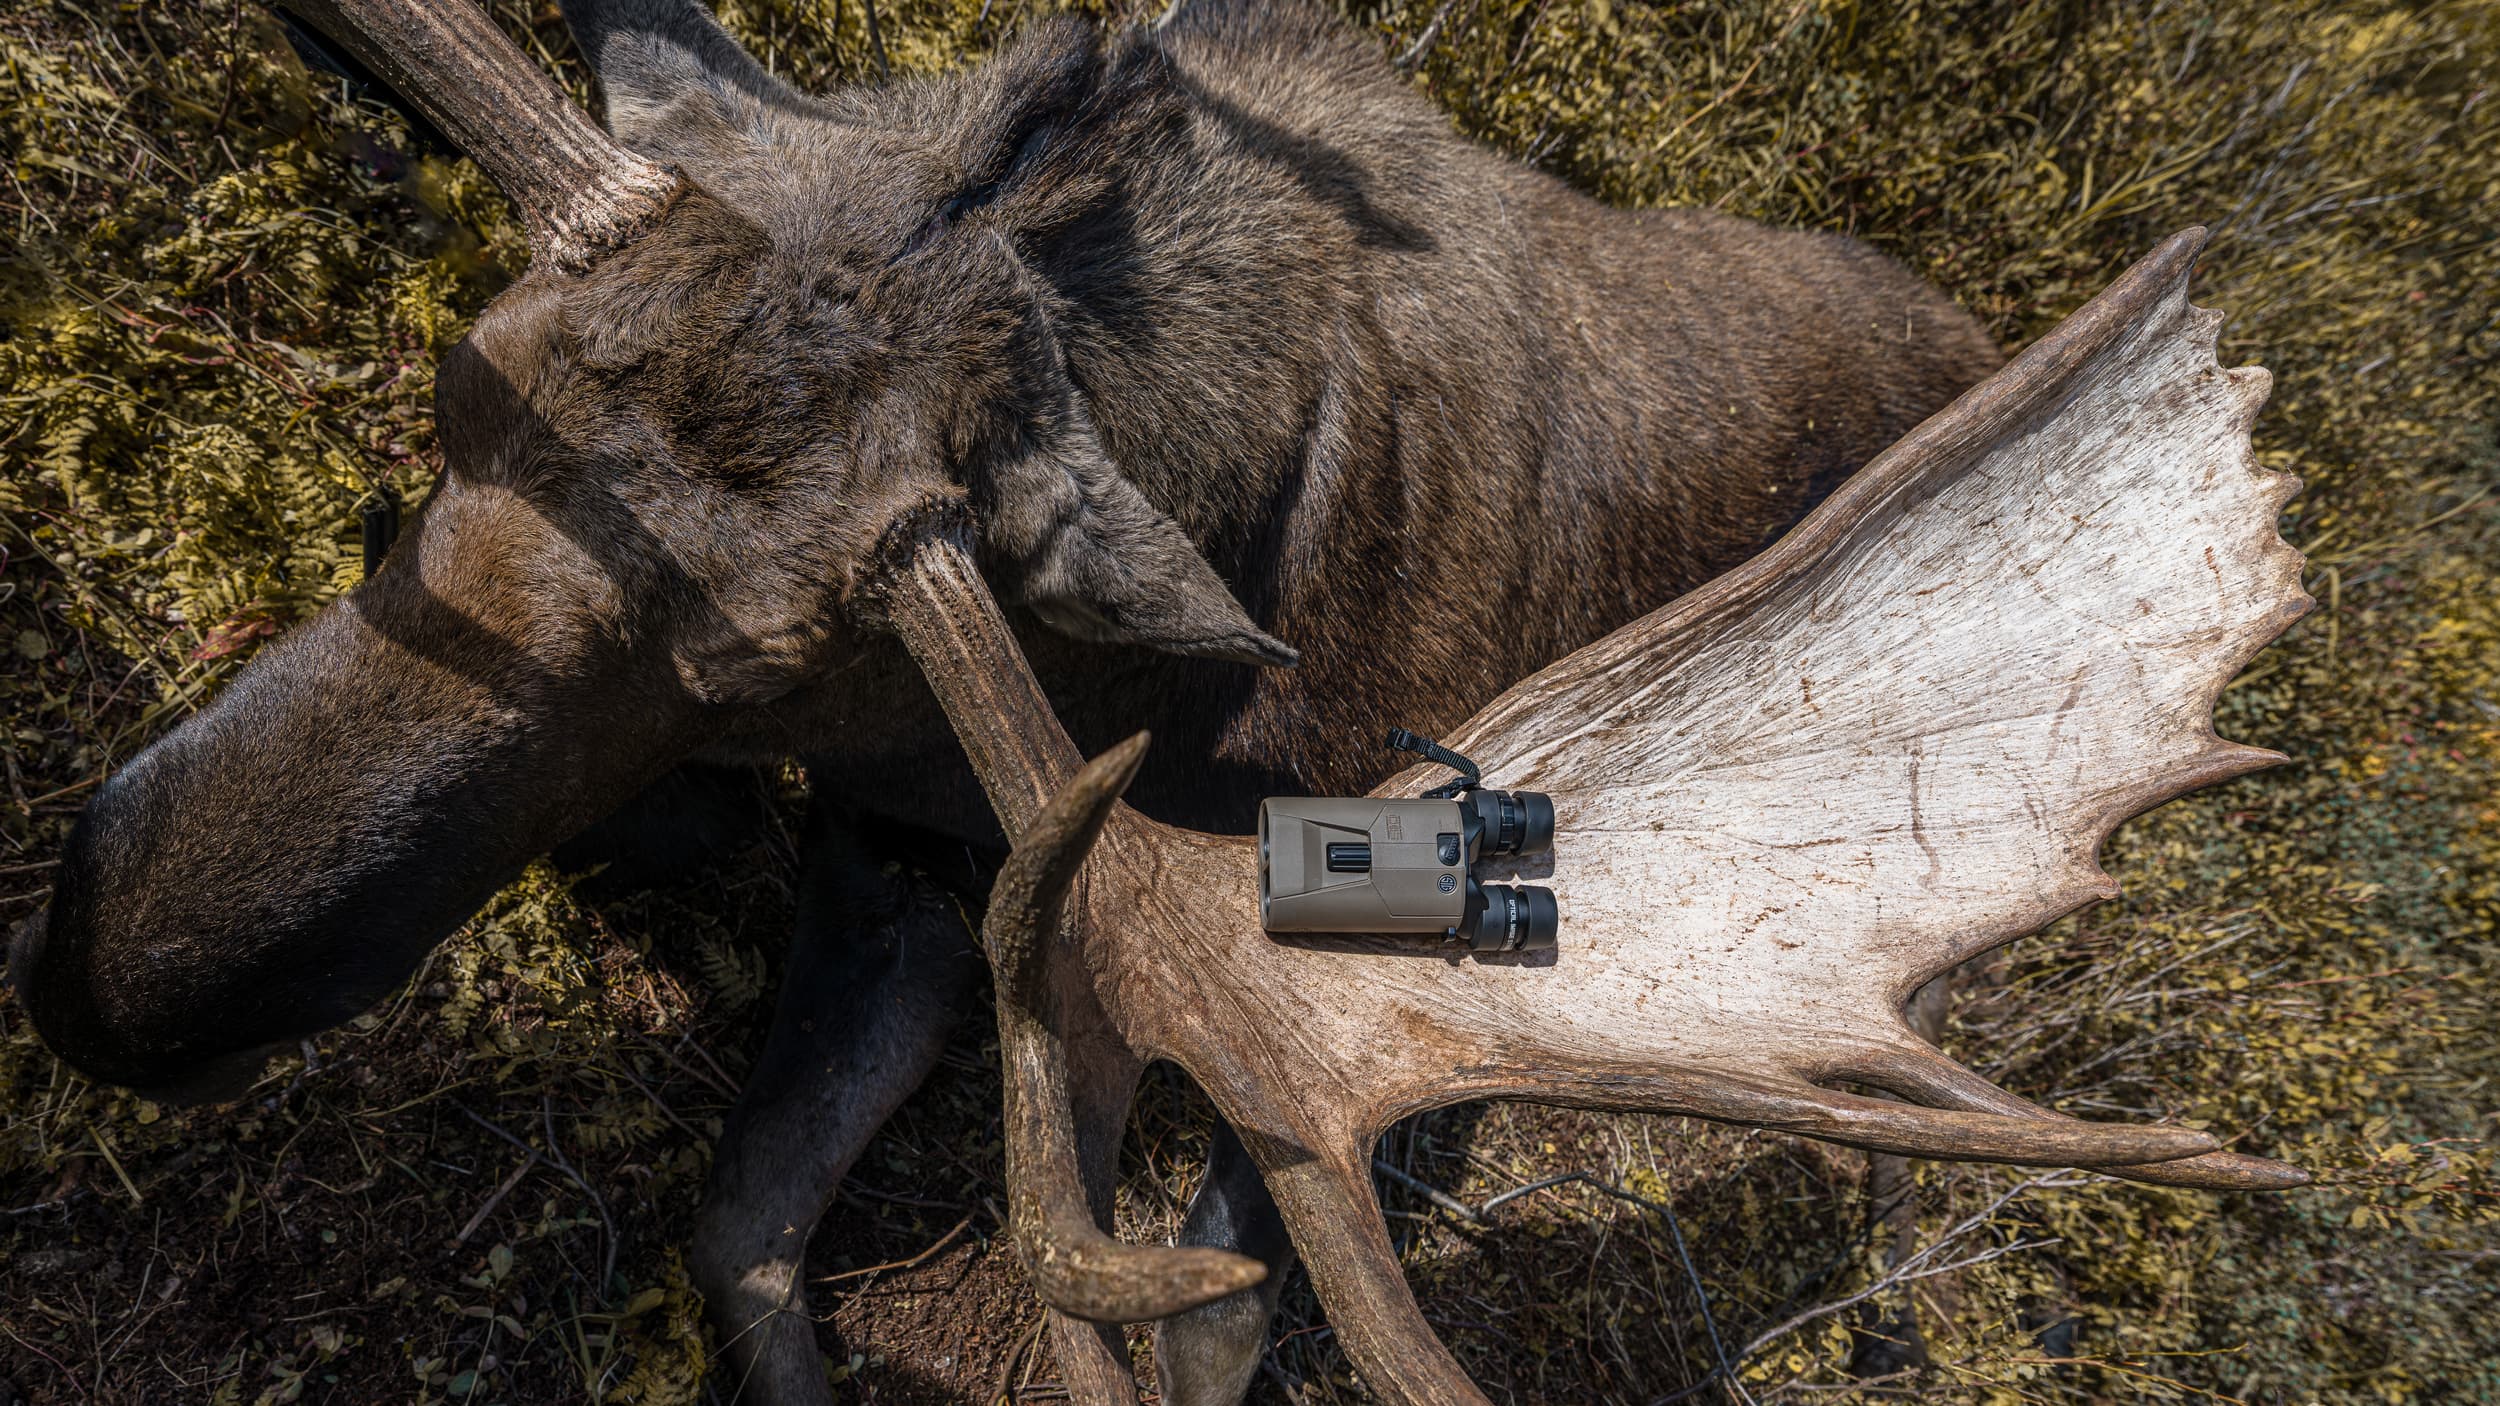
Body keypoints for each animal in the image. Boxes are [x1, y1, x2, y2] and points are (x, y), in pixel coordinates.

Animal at [8, 0, 2010, 1399]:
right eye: (458, 375)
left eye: (754, 667)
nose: (106, 975)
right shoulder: (902, 857)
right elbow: (740, 1232)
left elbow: (1210, 1320)